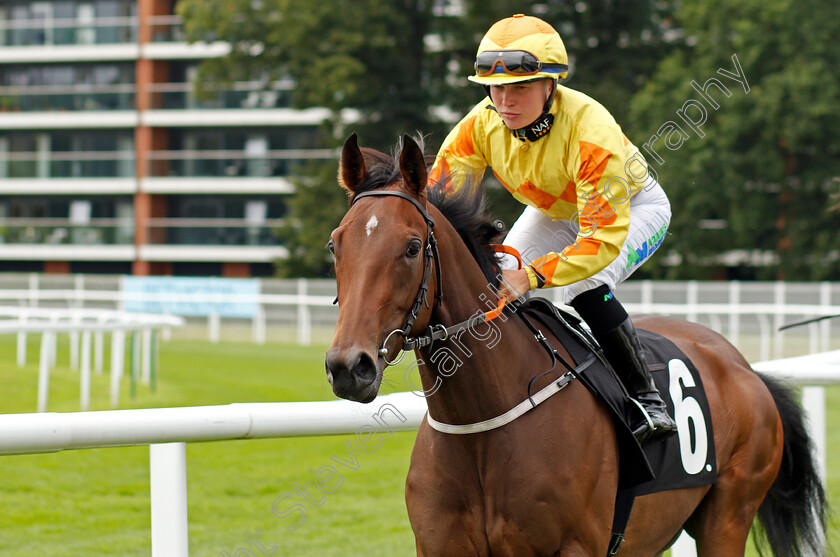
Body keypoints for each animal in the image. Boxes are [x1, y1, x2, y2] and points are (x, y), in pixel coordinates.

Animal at [324, 132, 828, 552]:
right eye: (335, 245)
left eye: (412, 247)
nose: (349, 366)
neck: (481, 424)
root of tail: (744, 366)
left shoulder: (577, 546)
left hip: (728, 514)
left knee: (593, 288)